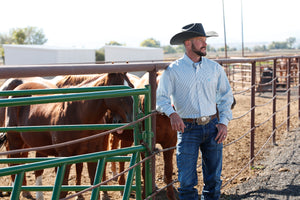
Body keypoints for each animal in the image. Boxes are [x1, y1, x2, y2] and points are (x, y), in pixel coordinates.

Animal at [3, 73, 134, 198]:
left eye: (132, 86)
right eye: (120, 89)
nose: (131, 117)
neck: (79, 114)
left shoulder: (92, 153)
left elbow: (94, 184)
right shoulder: (65, 155)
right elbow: (62, 190)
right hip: (15, 142)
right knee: (14, 166)